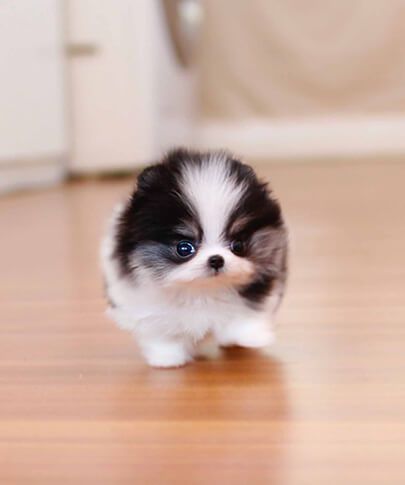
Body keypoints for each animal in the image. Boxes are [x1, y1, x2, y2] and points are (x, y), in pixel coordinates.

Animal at [102, 147, 288, 366]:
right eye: (184, 248)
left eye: (238, 245)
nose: (216, 259)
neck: (202, 291)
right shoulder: (147, 309)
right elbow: (163, 335)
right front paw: (168, 360)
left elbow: (244, 316)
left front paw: (250, 337)